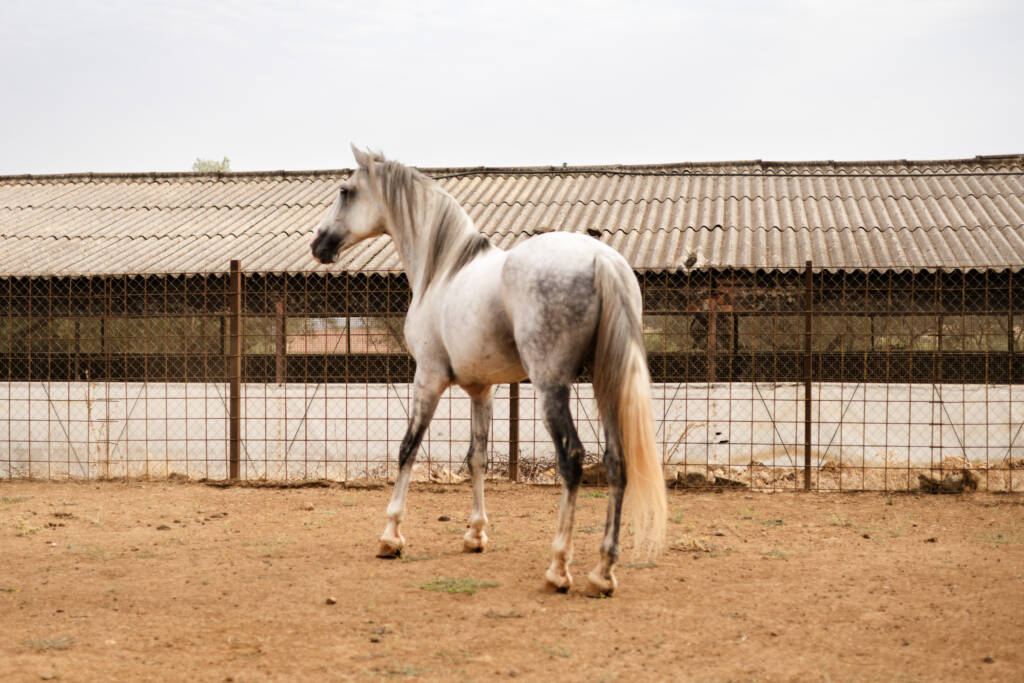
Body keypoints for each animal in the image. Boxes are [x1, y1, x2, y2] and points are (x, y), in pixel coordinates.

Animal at [310, 146, 666, 596]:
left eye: (346, 191)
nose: (318, 244)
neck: (442, 270)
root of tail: (601, 259)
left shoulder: (427, 378)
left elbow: (407, 449)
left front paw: (391, 536)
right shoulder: (482, 390)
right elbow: (476, 457)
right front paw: (475, 535)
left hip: (552, 386)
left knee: (572, 458)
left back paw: (558, 568)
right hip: (607, 385)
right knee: (616, 461)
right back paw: (602, 573)